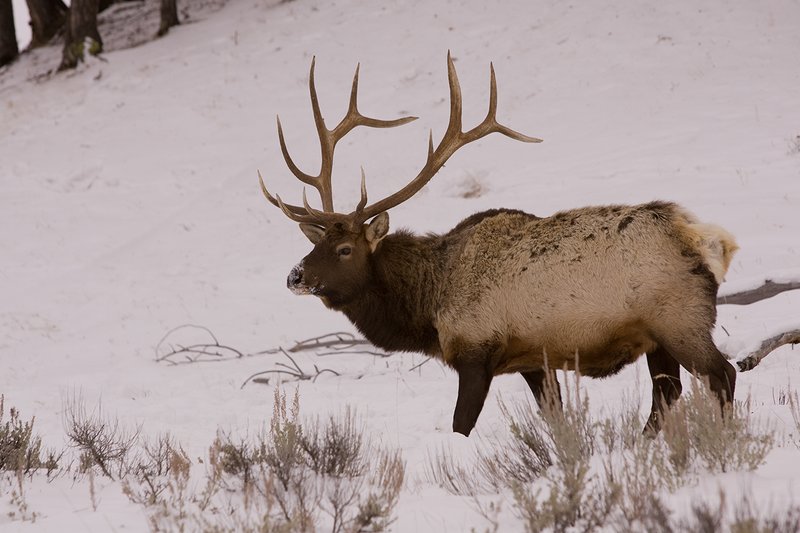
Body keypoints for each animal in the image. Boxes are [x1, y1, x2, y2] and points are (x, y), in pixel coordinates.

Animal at [258, 54, 740, 436]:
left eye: (345, 249)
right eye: (317, 243)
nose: (294, 275)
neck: (429, 305)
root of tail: (708, 240)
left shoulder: (476, 352)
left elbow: (461, 426)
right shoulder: (532, 359)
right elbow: (557, 421)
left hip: (680, 320)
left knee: (723, 375)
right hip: (658, 337)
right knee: (667, 395)